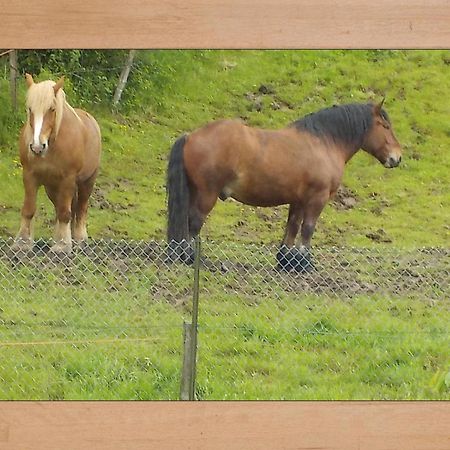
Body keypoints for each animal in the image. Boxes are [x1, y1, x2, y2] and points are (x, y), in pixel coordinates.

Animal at [13, 75, 101, 255]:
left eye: (52, 109)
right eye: (30, 109)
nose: (37, 147)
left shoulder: (68, 179)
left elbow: (65, 213)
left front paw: (62, 246)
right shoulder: (30, 176)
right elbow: (29, 209)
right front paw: (23, 243)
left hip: (87, 181)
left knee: (80, 209)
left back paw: (79, 239)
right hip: (52, 187)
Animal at [167, 102, 402, 270]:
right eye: (386, 127)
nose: (397, 157)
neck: (323, 143)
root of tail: (191, 136)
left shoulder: (298, 200)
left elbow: (292, 227)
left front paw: (287, 262)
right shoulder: (317, 199)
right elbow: (308, 229)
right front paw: (305, 263)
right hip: (207, 195)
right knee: (194, 222)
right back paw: (192, 258)